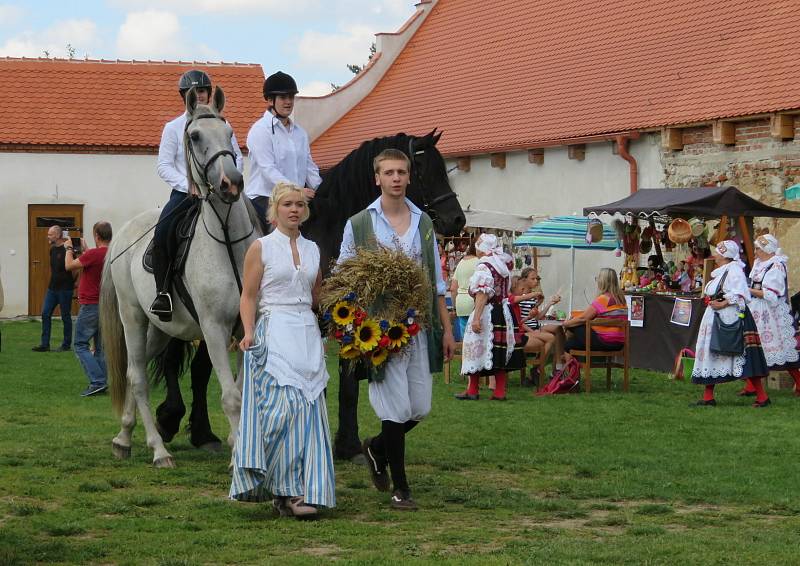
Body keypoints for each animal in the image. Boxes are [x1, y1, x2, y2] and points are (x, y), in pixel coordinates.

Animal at [98, 87, 258, 470]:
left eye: (230, 133)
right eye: (194, 136)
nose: (231, 183)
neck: (227, 242)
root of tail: (122, 234)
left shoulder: (248, 327)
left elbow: (242, 390)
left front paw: (239, 445)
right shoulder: (214, 329)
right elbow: (230, 396)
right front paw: (237, 457)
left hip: (159, 329)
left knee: (135, 371)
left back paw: (124, 438)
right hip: (133, 317)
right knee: (138, 377)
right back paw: (159, 450)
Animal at [153, 129, 466, 458]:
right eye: (423, 171)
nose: (457, 219)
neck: (327, 233)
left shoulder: (347, 321)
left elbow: (347, 384)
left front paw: (348, 445)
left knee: (199, 369)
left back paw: (203, 434)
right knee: (176, 362)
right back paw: (170, 420)